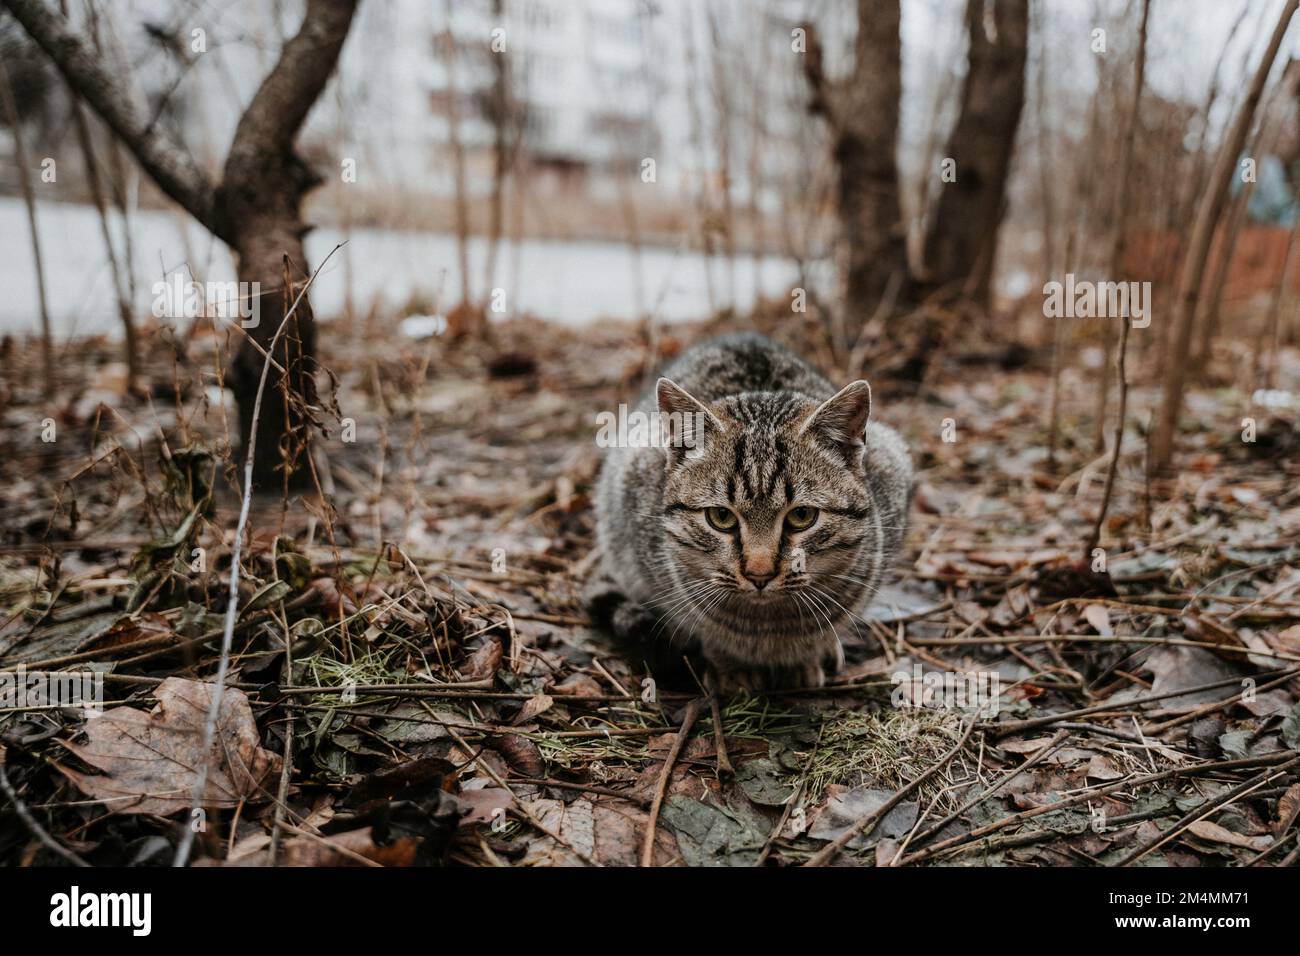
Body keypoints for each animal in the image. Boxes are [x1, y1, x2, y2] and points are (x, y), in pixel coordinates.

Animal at [590, 332, 915, 691]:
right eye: (721, 517)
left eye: (802, 516)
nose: (759, 575)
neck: (767, 627)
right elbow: (702, 627)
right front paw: (730, 667)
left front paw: (807, 657)